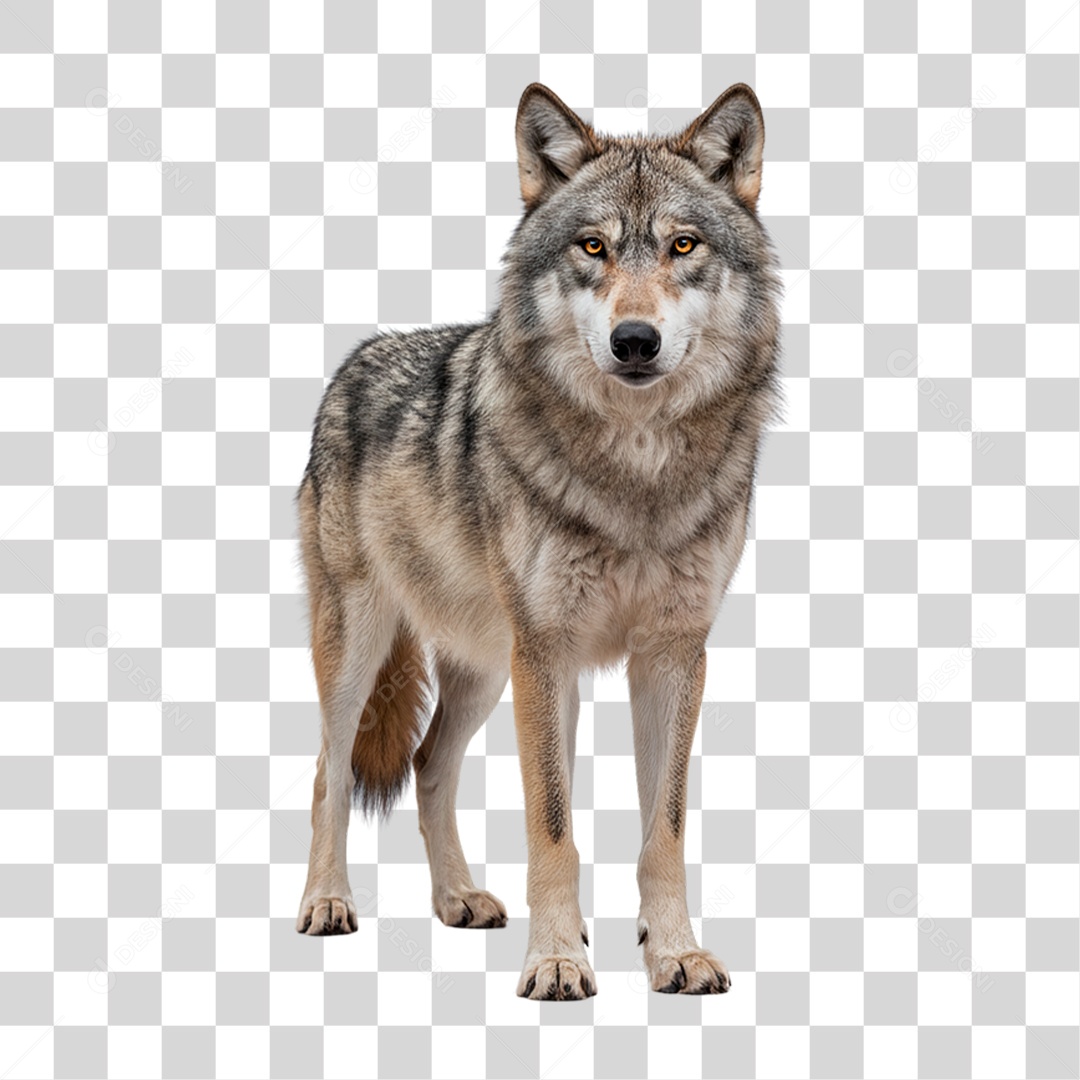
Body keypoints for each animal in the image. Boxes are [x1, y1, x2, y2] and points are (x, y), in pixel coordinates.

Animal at [295, 82, 781, 999]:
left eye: (683, 245)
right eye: (593, 246)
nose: (635, 340)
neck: (636, 471)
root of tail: (355, 360)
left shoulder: (672, 653)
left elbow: (664, 831)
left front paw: (674, 953)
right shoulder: (549, 653)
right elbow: (552, 825)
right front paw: (557, 959)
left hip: (487, 668)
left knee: (428, 765)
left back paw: (457, 899)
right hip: (367, 652)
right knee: (328, 773)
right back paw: (327, 904)